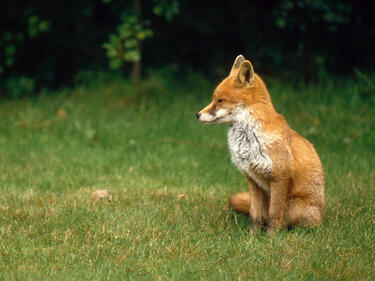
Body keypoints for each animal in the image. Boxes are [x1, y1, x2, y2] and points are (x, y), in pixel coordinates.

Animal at [197, 54, 326, 232]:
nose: (197, 114)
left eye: (220, 100)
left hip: (294, 207)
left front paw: (271, 236)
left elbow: (274, 213)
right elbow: (254, 213)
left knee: (289, 222)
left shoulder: (279, 177)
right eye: (213, 99)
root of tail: (321, 216)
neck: (249, 139)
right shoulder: (252, 179)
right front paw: (252, 235)